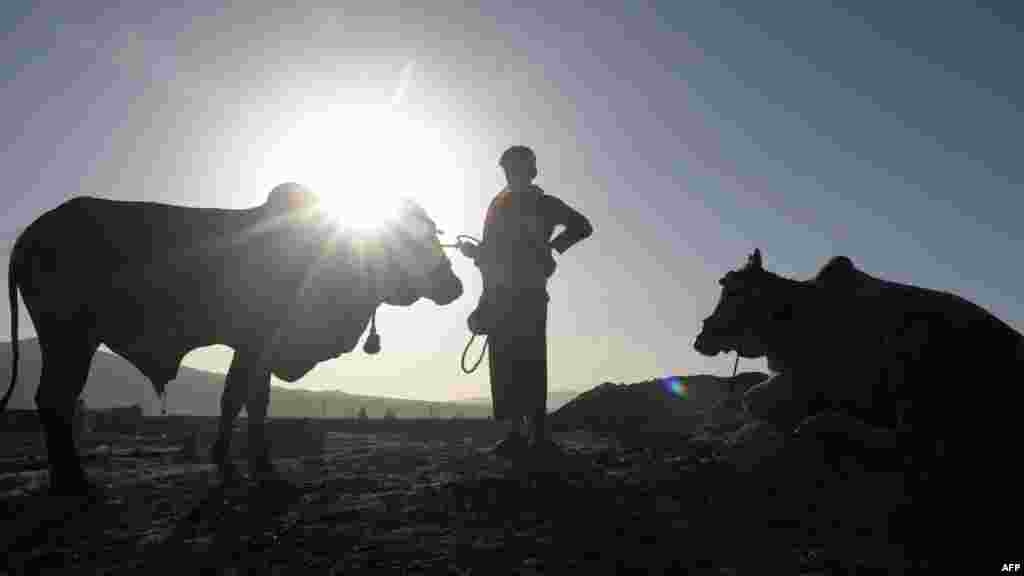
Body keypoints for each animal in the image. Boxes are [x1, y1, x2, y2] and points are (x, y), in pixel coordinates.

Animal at [2, 183, 462, 494]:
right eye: (415, 236)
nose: (453, 285)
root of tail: (30, 234)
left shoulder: (255, 347)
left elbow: (244, 400)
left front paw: (240, 462)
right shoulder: (257, 343)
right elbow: (244, 398)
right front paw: (246, 463)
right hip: (69, 337)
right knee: (55, 399)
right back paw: (73, 480)